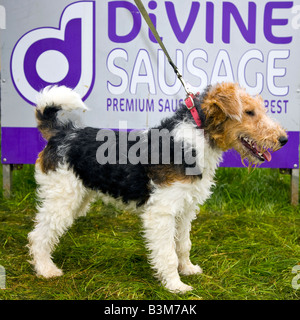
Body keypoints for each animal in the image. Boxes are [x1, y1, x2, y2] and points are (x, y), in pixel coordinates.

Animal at [28, 82, 288, 292]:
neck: (194, 140)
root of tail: (63, 134)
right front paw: (176, 286)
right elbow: (167, 253)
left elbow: (183, 245)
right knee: (38, 235)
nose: (284, 139)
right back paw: (46, 270)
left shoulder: (185, 209)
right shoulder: (162, 212)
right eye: (249, 112)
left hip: (78, 199)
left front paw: (188, 269)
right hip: (62, 199)